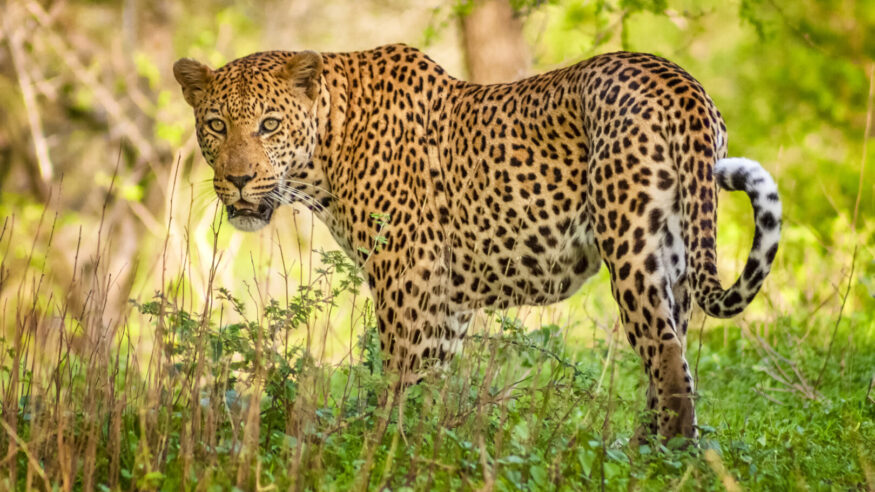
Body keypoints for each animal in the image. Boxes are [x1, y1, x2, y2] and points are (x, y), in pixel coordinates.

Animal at [174, 43, 781, 441]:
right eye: (216, 125)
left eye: (270, 125)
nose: (238, 180)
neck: (327, 148)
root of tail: (680, 81)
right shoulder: (445, 300)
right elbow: (432, 384)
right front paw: (427, 446)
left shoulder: (408, 278)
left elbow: (401, 379)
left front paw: (381, 450)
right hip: (676, 257)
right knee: (674, 358)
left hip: (631, 246)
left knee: (667, 359)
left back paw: (655, 463)